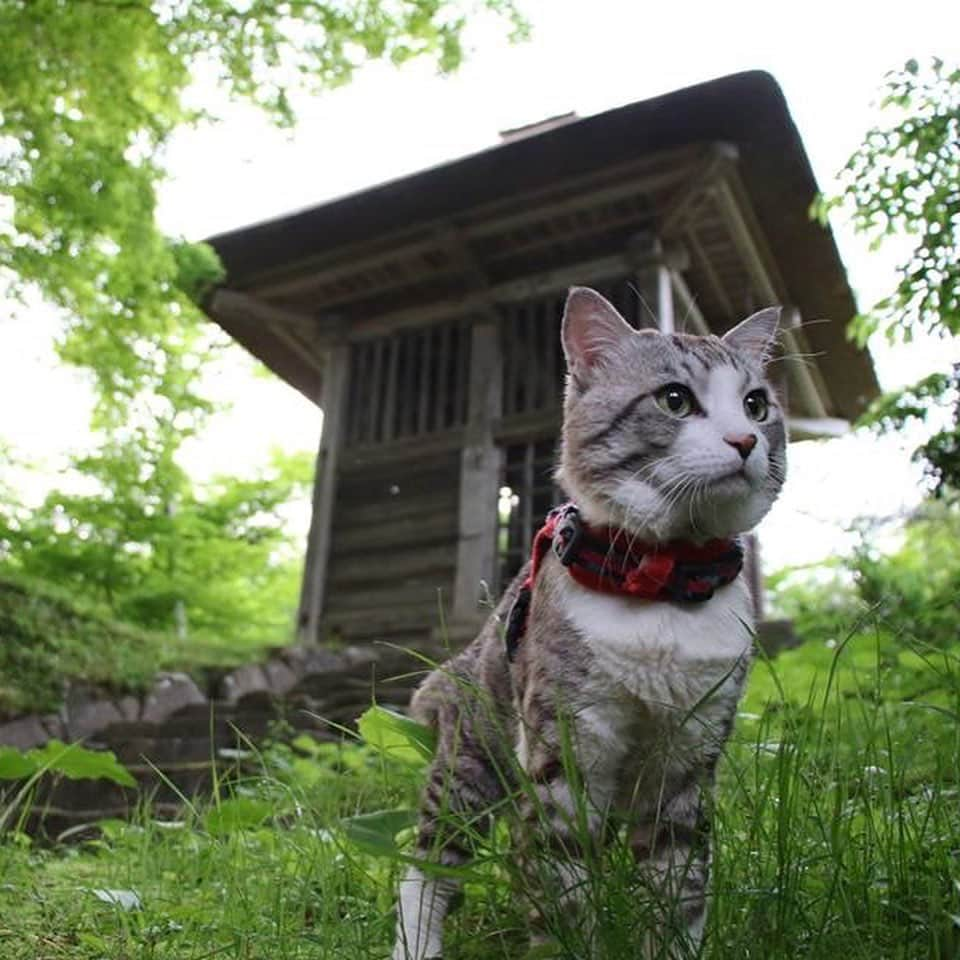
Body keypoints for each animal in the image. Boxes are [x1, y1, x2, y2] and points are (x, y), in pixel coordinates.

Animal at [392, 286, 788, 960]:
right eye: (674, 399)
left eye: (756, 404)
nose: (744, 440)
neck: (663, 587)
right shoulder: (567, 746)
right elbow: (562, 889)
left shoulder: (690, 754)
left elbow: (679, 886)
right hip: (471, 764)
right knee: (431, 863)